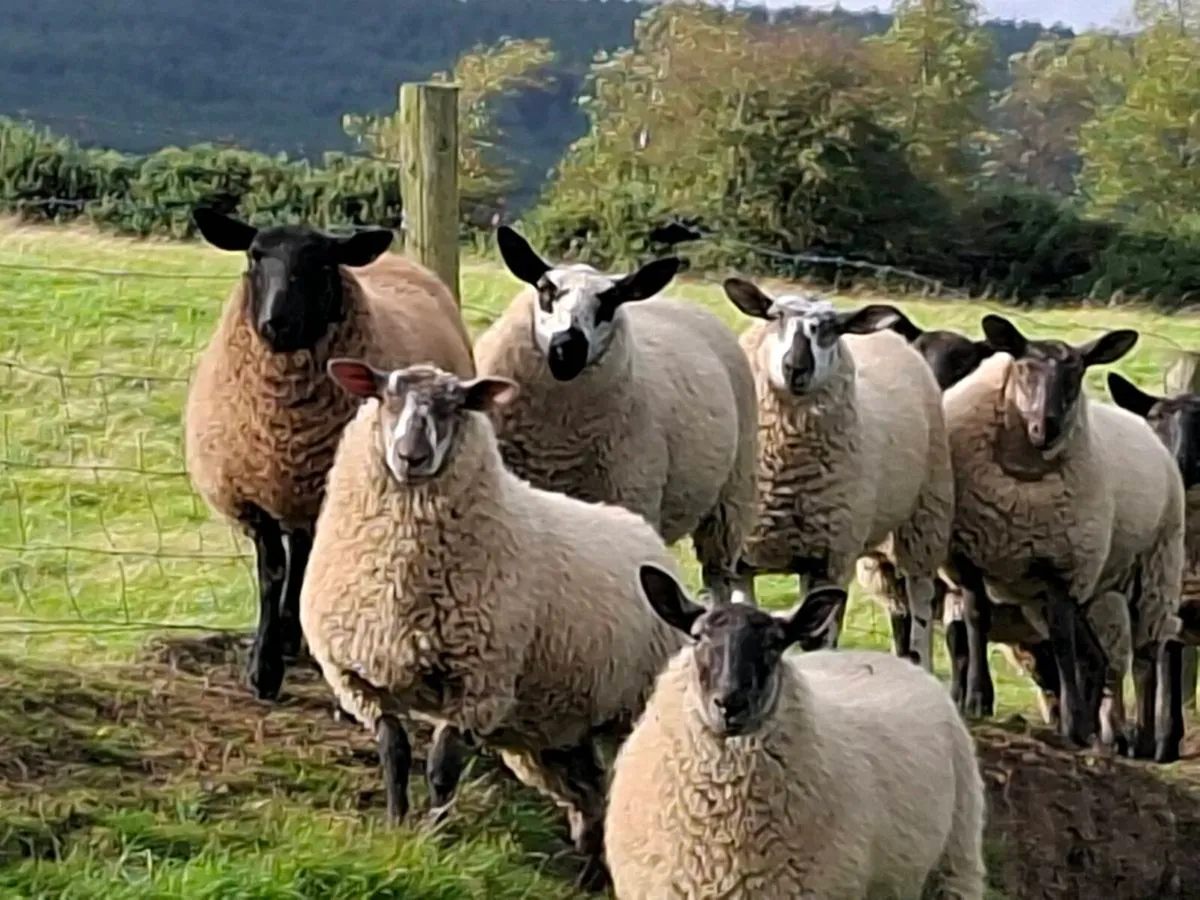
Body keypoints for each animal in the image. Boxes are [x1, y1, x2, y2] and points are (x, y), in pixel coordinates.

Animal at [184, 209, 475, 704]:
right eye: (254, 255)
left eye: (321, 264)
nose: (275, 323)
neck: (285, 428)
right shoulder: (253, 494)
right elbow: (273, 572)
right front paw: (264, 668)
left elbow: (304, 569)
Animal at [299, 359, 687, 892]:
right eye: (386, 395)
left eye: (455, 404)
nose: (411, 456)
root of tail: (644, 534)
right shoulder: (360, 679)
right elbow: (393, 755)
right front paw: (396, 828)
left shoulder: (478, 684)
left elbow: (441, 767)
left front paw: (435, 840)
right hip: (551, 729)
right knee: (588, 792)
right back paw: (587, 873)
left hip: (624, 709)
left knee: (610, 788)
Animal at [721, 278, 955, 672]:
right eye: (774, 316)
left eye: (832, 328)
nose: (795, 367)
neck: (785, 473)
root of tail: (889, 336)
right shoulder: (742, 560)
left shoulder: (828, 560)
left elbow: (818, 641)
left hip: (925, 518)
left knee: (919, 599)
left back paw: (919, 663)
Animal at [943, 315, 1185, 761]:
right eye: (1024, 368)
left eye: (1078, 374)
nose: (1047, 427)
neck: (1020, 487)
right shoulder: (968, 557)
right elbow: (976, 619)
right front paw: (976, 700)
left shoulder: (1060, 566)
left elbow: (1060, 642)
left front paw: (1072, 723)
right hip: (1081, 589)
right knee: (1096, 655)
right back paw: (1098, 729)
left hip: (1154, 571)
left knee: (1147, 657)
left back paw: (1143, 740)